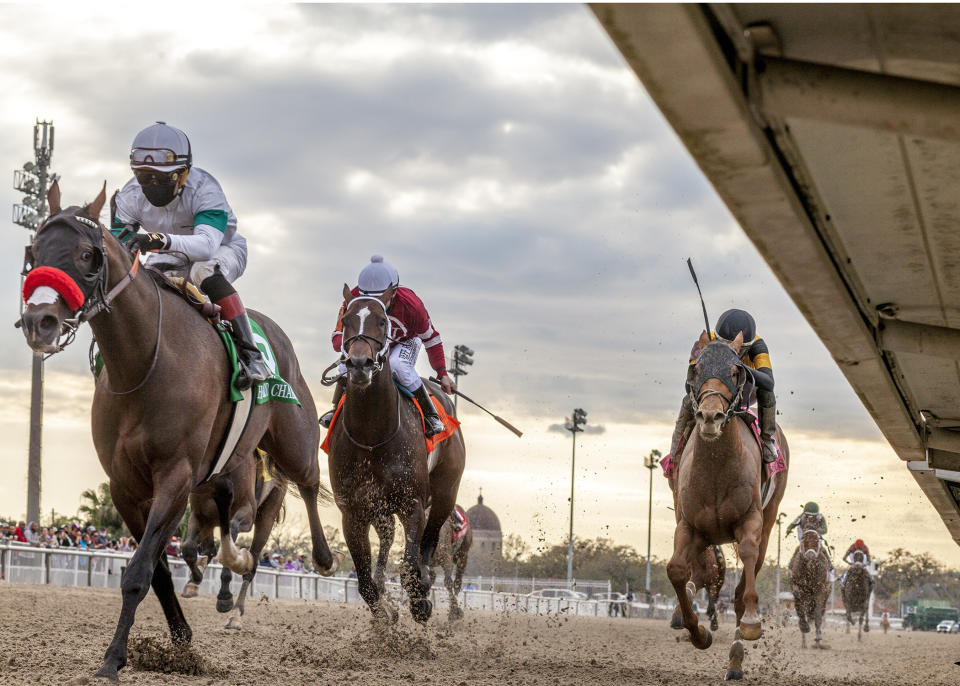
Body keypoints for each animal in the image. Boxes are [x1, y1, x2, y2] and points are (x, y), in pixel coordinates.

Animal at [16, 183, 340, 684]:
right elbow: (157, 569)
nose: (40, 322)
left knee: (306, 482)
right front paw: (180, 640)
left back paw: (321, 558)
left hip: (292, 437)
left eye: (87, 254)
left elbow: (138, 571)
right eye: (34, 251)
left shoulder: (175, 474)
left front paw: (112, 659)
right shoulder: (127, 487)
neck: (144, 363)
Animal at [328, 284, 466, 624]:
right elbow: (365, 583)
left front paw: (420, 602)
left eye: (381, 321)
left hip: (445, 492)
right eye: (346, 320)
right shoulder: (352, 511)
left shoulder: (412, 502)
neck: (373, 435)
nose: (359, 364)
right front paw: (385, 618)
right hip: (381, 510)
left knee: (431, 540)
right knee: (389, 543)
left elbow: (409, 567)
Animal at [668, 334, 788, 684]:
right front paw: (698, 633)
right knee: (699, 572)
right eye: (695, 368)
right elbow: (677, 570)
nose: (710, 417)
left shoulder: (750, 521)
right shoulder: (689, 525)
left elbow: (744, 569)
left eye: (736, 372)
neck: (717, 468)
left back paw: (735, 660)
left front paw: (750, 622)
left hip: (769, 520)